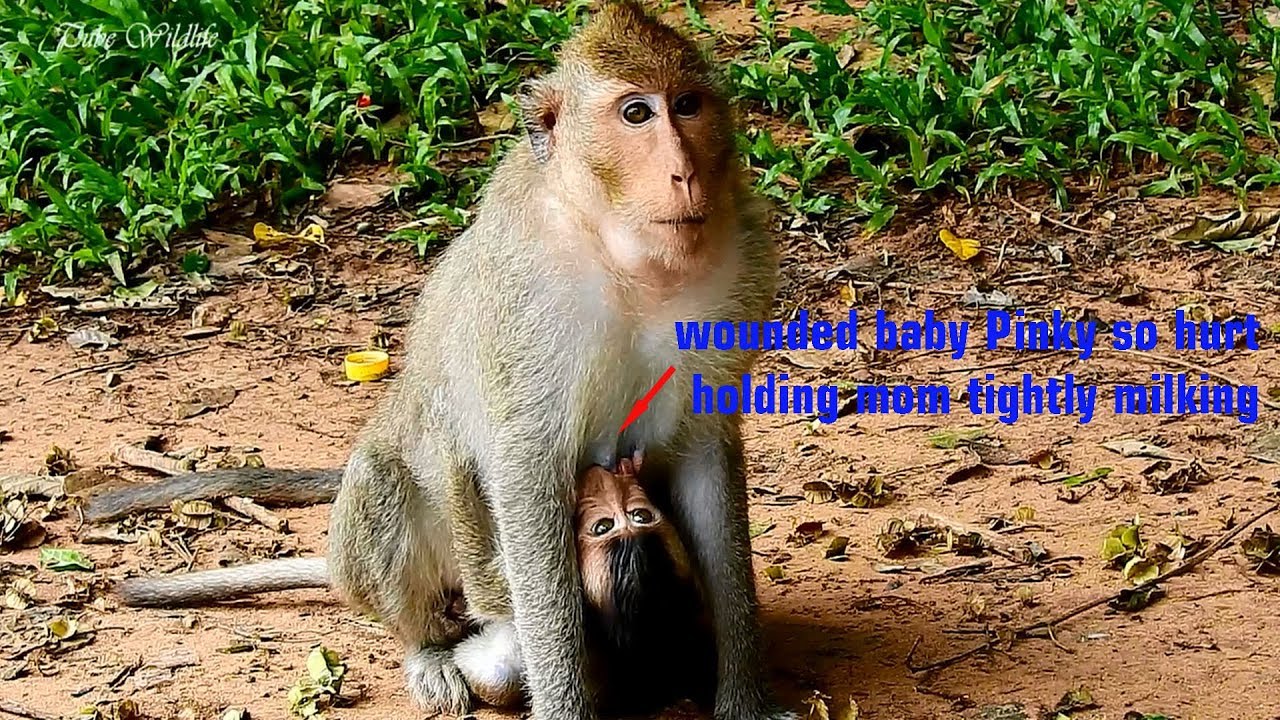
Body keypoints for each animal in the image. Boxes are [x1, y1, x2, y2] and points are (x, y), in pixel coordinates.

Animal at [85, 3, 791, 718]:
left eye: (688, 105)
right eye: (637, 113)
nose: (684, 172)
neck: (626, 255)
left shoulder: (744, 264)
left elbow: (701, 453)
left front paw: (744, 697)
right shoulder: (525, 294)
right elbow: (524, 467)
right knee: (390, 483)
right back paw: (426, 647)